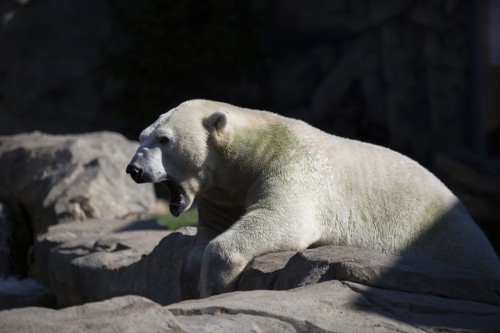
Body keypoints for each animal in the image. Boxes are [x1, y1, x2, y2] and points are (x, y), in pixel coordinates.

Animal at [126, 98, 500, 296]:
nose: (134, 169)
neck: (249, 152)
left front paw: (216, 284)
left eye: (164, 139)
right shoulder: (224, 192)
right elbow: (206, 236)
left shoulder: (291, 166)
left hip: (447, 240)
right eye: (142, 136)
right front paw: (190, 280)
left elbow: (282, 219)